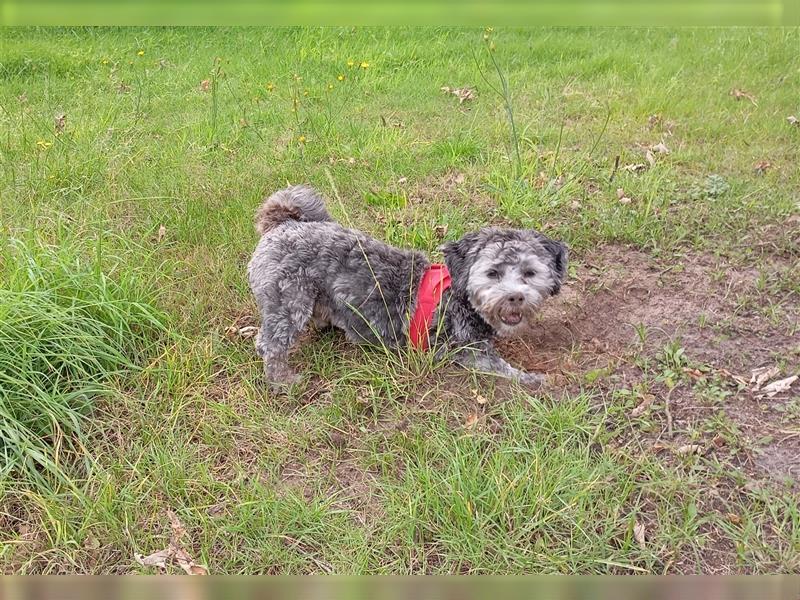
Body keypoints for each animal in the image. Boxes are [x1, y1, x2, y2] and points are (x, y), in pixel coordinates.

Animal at [247, 184, 564, 390]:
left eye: (530, 272)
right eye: (492, 273)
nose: (515, 297)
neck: (458, 296)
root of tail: (281, 225)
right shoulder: (467, 350)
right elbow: (503, 369)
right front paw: (536, 380)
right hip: (288, 300)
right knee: (270, 344)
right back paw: (282, 381)